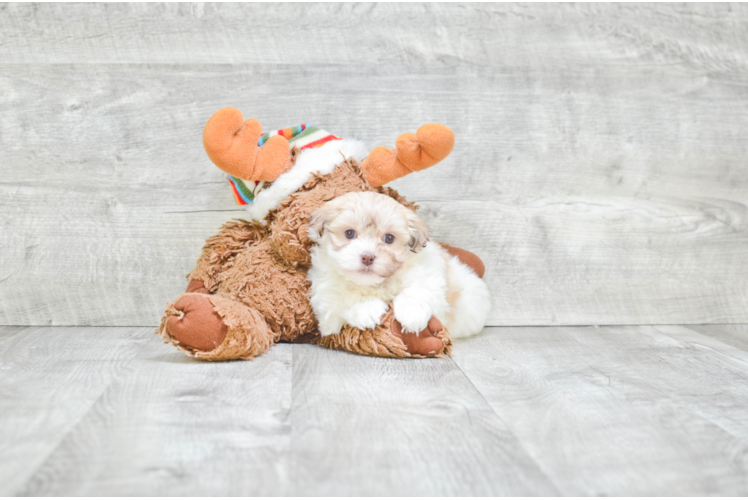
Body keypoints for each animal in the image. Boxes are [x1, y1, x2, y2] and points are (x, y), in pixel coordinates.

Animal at [306, 191, 490, 340]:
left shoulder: (429, 273)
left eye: (389, 238)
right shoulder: (326, 304)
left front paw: (412, 312)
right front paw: (366, 308)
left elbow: (419, 290)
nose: (367, 257)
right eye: (349, 233)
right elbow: (342, 303)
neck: (374, 284)